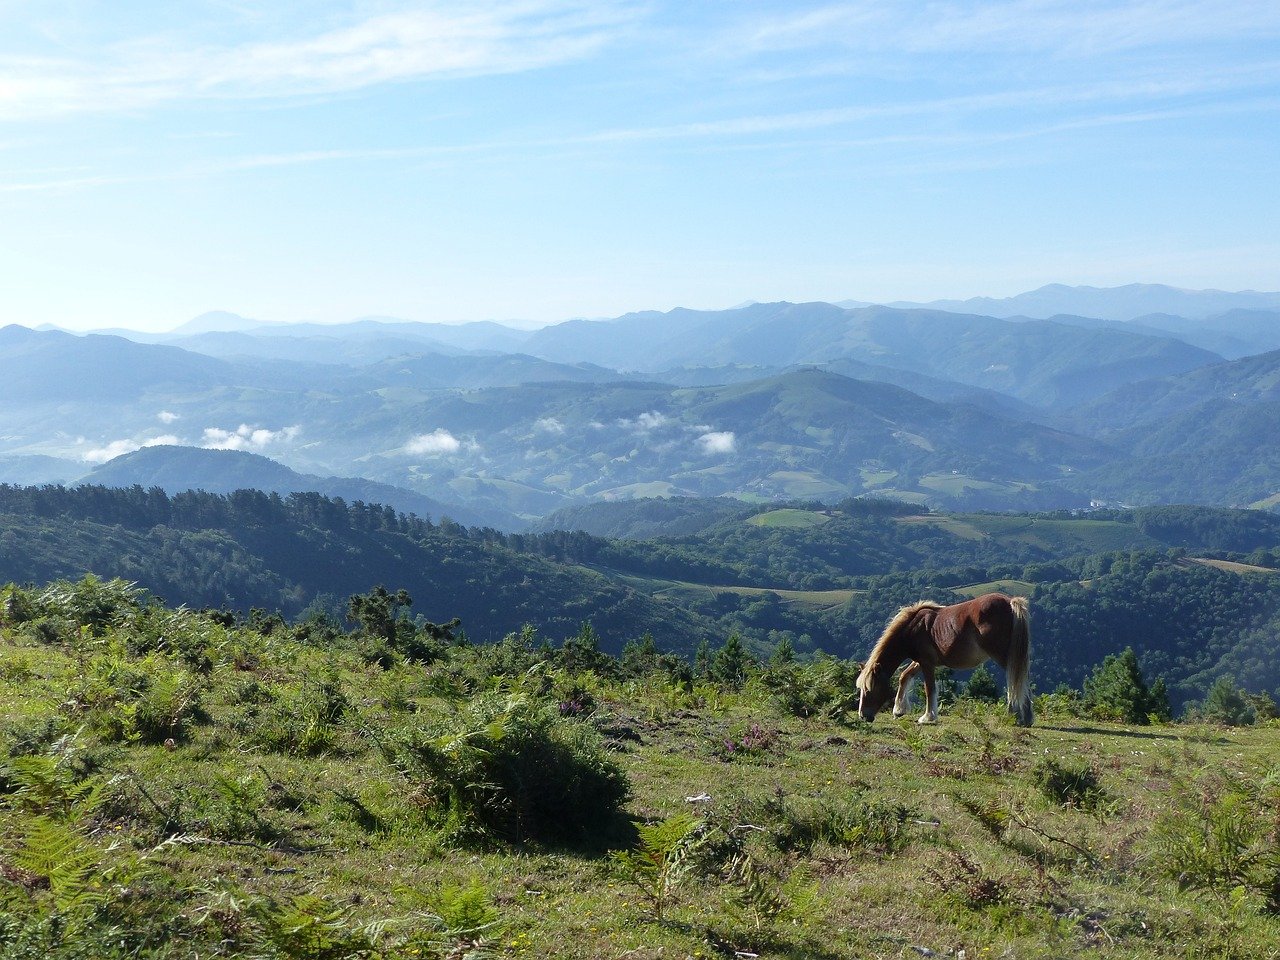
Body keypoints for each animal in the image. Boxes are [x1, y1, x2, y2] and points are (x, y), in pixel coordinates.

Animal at [855, 599, 1034, 727]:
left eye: (869, 689)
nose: (863, 716)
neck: (914, 627)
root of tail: (1010, 602)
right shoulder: (920, 661)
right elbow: (904, 676)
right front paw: (899, 710)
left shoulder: (927, 663)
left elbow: (929, 689)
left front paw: (928, 717)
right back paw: (1026, 719)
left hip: (1005, 656)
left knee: (1015, 681)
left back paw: (1014, 717)